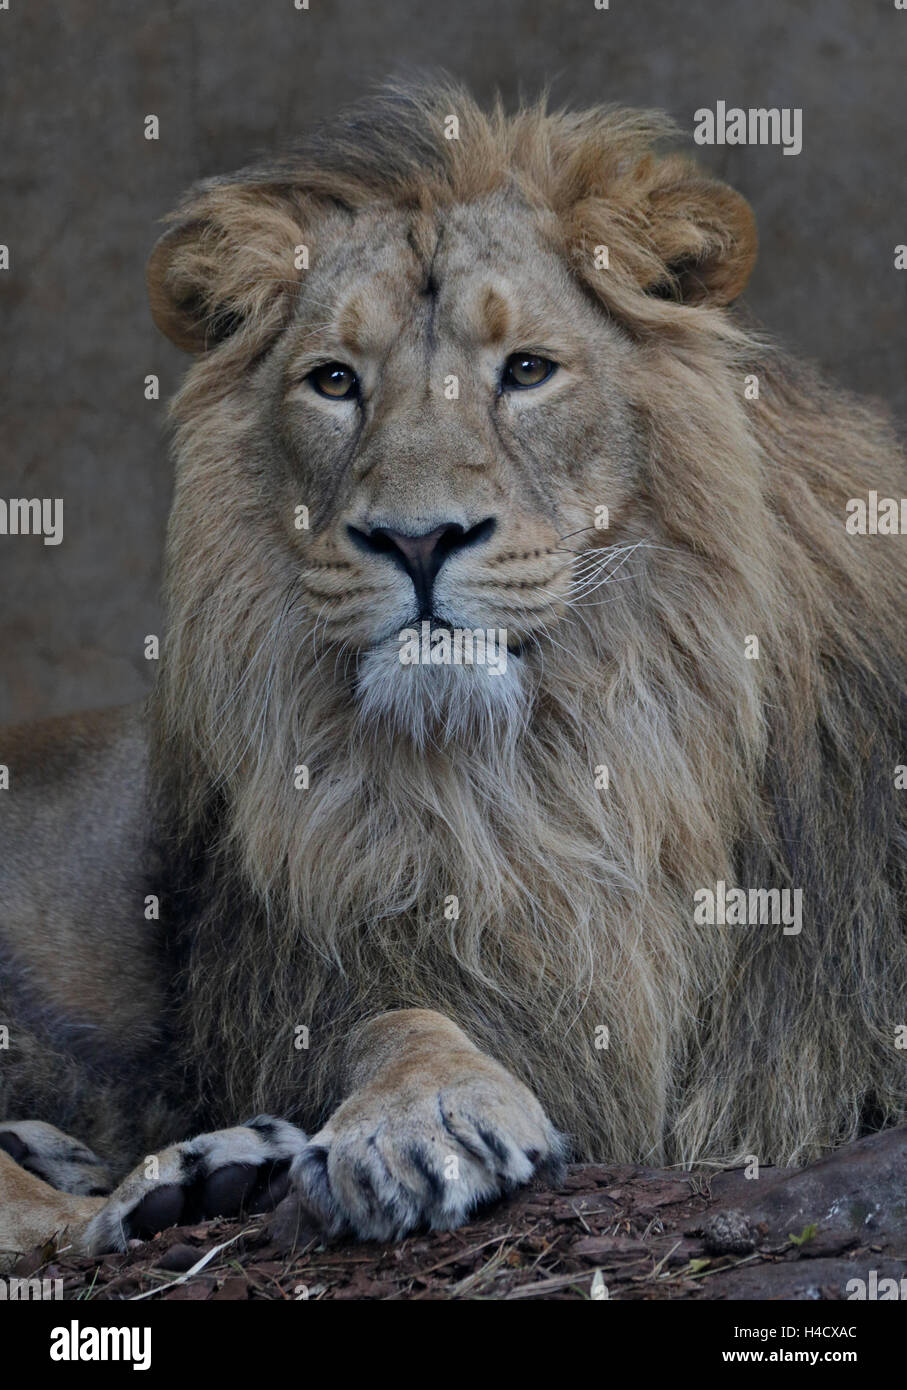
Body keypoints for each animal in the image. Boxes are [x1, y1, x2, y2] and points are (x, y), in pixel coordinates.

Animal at [1, 80, 905, 1263]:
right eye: (334, 382)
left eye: (525, 369)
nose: (417, 538)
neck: (554, 774)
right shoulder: (311, 986)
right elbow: (392, 1022)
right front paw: (419, 1115)